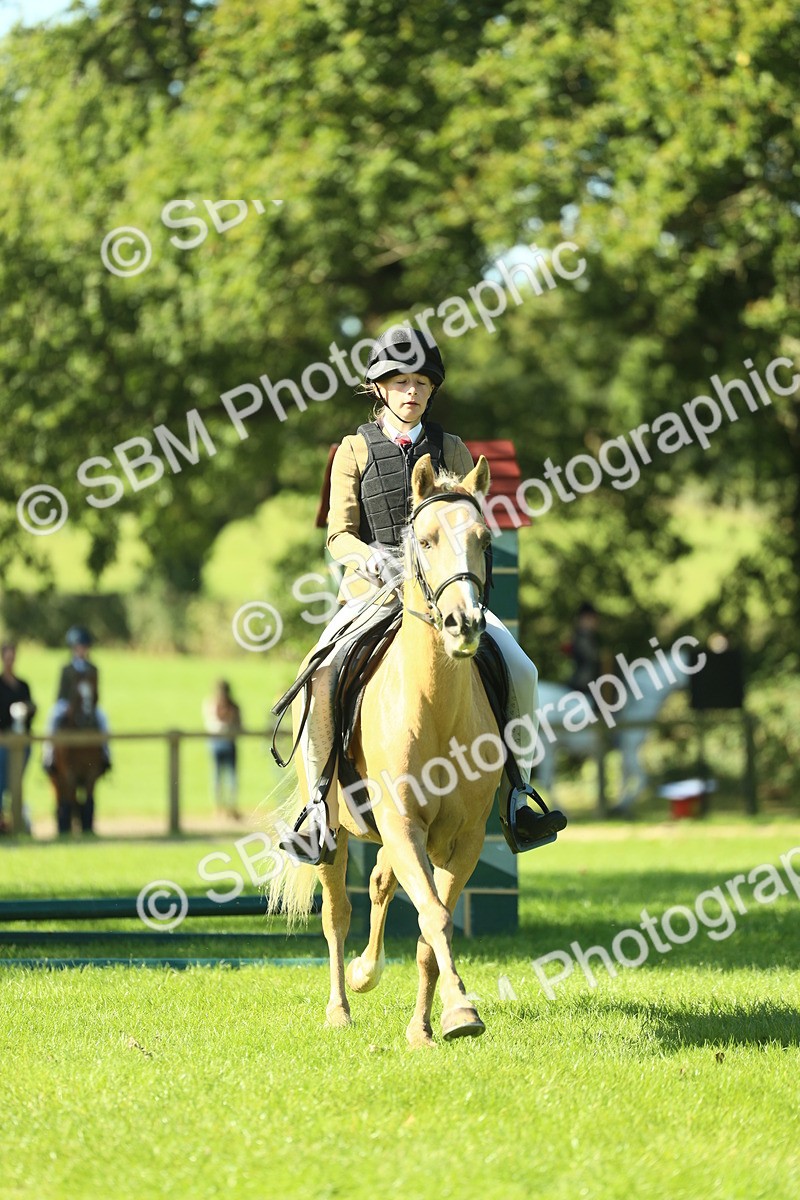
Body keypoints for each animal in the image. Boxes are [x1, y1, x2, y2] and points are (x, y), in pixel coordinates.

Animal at [51, 680, 104, 834]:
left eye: (94, 693)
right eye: (77, 695)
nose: (87, 717)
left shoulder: (91, 772)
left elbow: (88, 799)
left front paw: (87, 825)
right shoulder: (69, 773)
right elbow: (73, 798)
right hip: (56, 779)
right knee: (62, 800)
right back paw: (64, 826)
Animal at [269, 453, 506, 1047]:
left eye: (485, 539)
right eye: (425, 540)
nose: (464, 625)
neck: (435, 704)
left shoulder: (463, 839)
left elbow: (430, 925)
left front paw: (430, 1026)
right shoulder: (402, 825)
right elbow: (433, 917)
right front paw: (460, 1010)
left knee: (380, 882)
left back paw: (367, 973)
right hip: (331, 831)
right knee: (337, 912)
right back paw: (341, 1004)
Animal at [534, 656, 687, 811]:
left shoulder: (624, 751)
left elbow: (624, 775)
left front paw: (620, 803)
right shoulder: (629, 748)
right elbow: (639, 775)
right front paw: (624, 804)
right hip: (548, 750)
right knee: (547, 780)